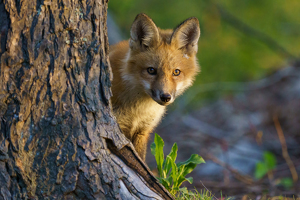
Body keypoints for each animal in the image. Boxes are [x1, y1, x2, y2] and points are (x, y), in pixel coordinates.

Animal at [109, 13, 200, 161]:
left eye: (176, 72)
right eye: (151, 70)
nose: (165, 97)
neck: (138, 110)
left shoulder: (143, 131)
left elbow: (141, 160)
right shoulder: (120, 128)